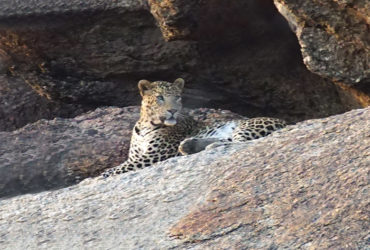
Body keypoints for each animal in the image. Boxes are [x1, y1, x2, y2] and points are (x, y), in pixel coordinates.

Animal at [101, 78, 286, 178]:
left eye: (177, 97)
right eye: (160, 97)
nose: (173, 110)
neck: (145, 125)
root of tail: (285, 122)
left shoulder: (155, 155)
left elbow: (121, 168)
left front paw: (103, 175)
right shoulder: (136, 155)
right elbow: (124, 164)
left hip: (246, 125)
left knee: (240, 143)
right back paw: (190, 146)